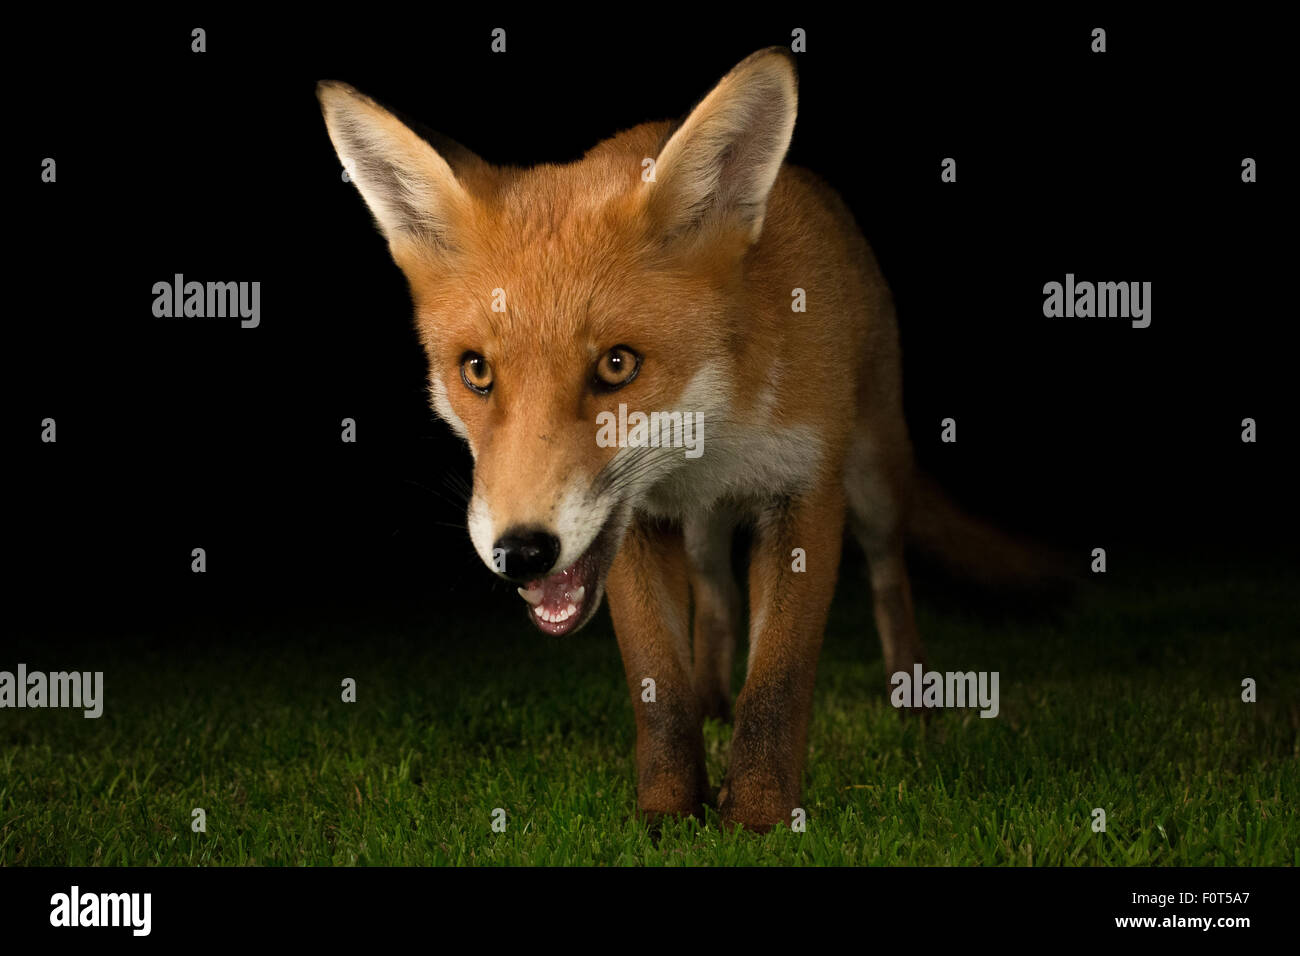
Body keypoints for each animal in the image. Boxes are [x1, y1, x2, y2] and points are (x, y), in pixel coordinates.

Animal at [317, 48, 1024, 832]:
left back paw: (915, 703)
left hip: (874, 477)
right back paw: (715, 701)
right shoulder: (635, 521)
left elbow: (778, 681)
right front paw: (668, 814)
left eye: (616, 365)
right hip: (702, 530)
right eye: (476, 372)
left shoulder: (805, 493)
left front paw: (759, 818)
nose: (521, 551)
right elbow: (659, 683)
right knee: (716, 595)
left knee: (889, 576)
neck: (713, 437)